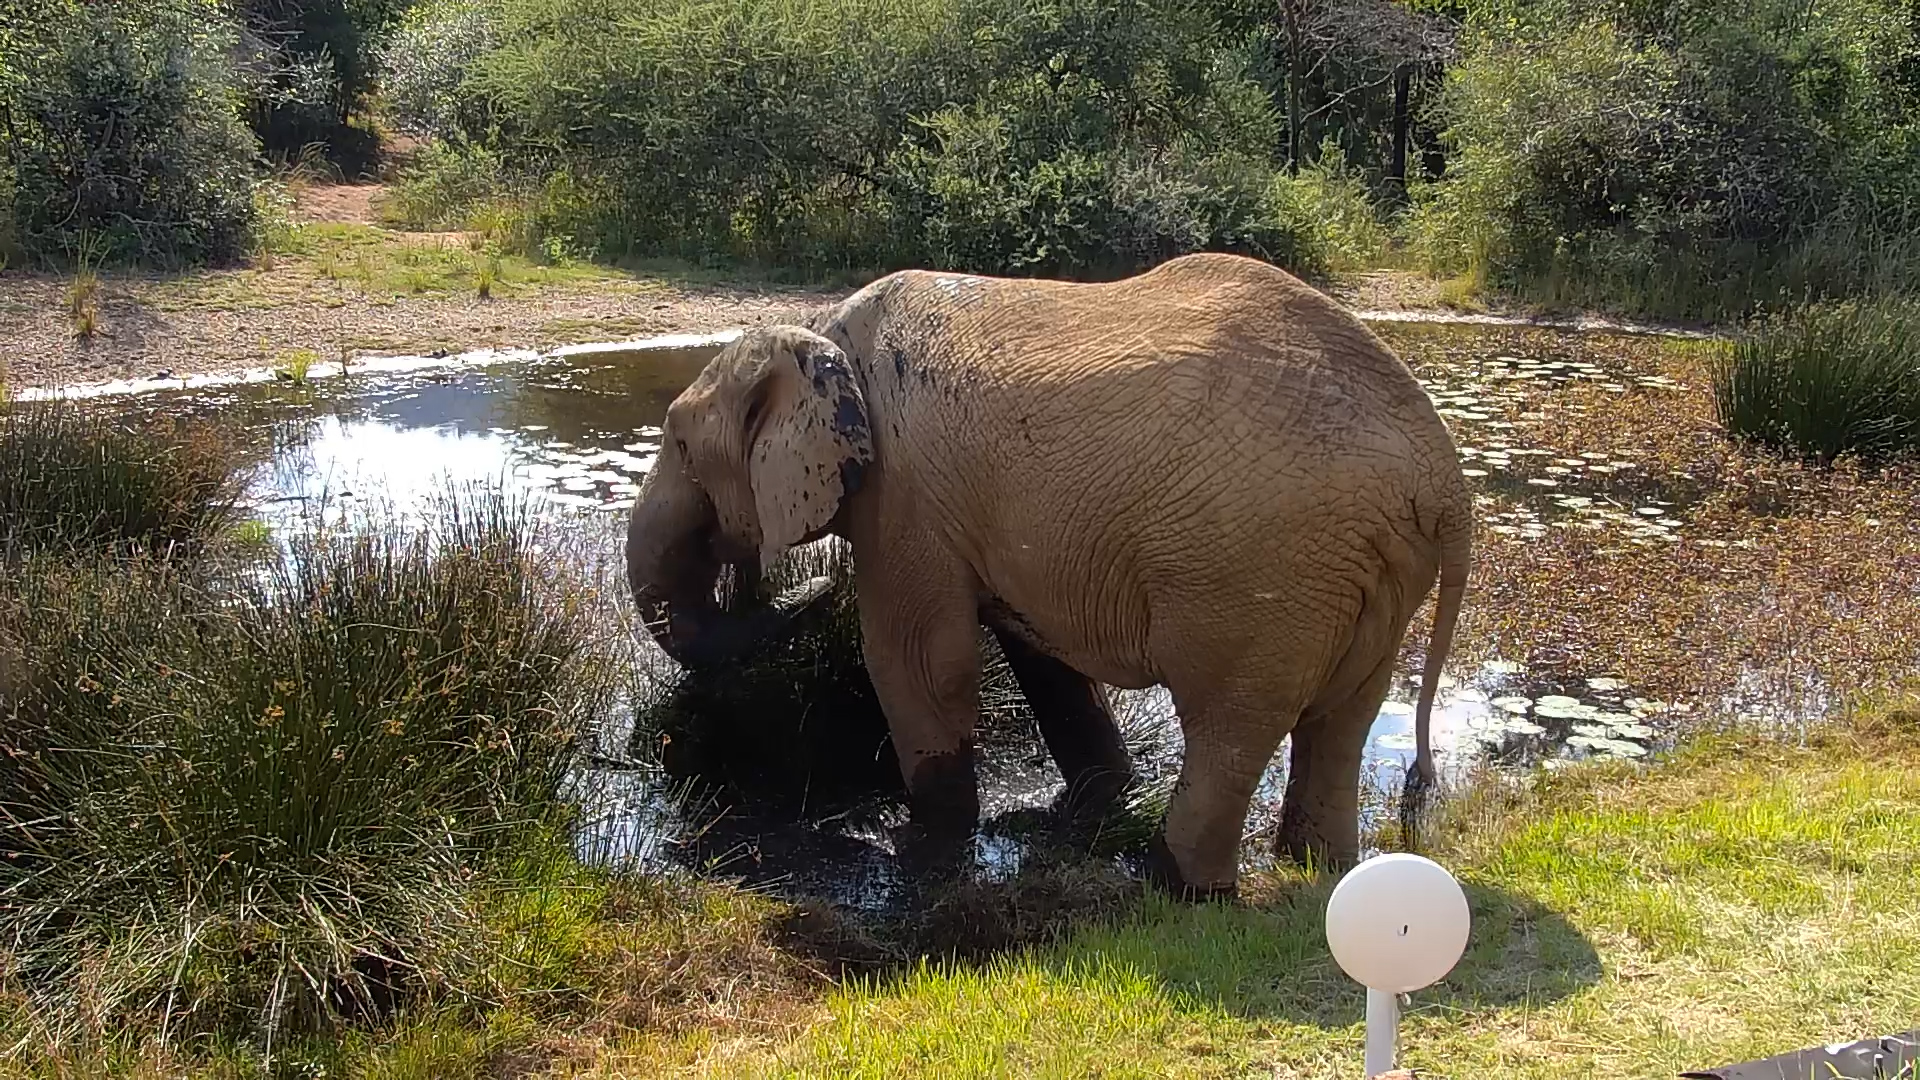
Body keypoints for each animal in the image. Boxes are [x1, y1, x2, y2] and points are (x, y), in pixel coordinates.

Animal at [624, 252, 1471, 899]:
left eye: (679, 445)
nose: (792, 588)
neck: (818, 331)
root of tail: (1443, 474)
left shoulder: (905, 496)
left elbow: (916, 660)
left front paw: (925, 844)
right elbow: (1039, 655)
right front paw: (1091, 801)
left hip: (1267, 570)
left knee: (1230, 726)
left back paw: (1175, 885)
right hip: (1367, 570)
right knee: (1341, 721)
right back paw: (1317, 869)